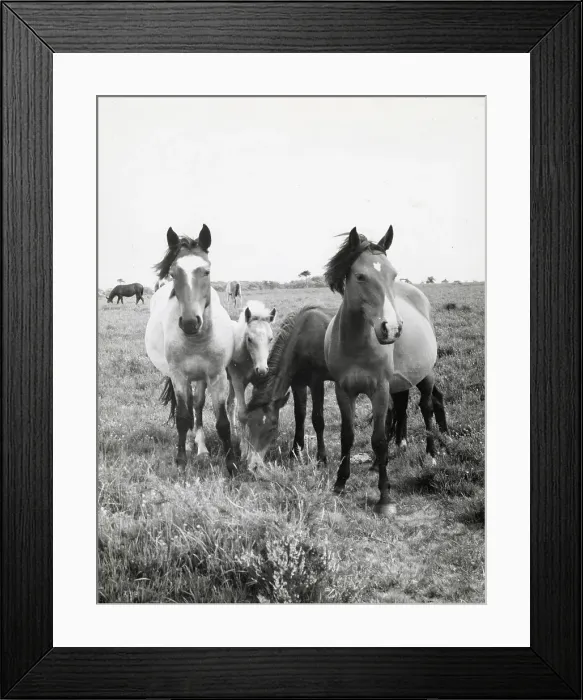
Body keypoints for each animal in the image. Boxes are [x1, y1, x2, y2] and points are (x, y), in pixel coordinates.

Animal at [144, 224, 237, 474]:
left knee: (198, 405)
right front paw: (181, 459)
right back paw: (190, 445)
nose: (189, 323)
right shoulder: (179, 376)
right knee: (184, 409)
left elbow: (221, 421)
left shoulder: (217, 377)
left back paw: (202, 449)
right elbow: (182, 418)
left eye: (206, 271)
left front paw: (231, 464)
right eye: (174, 273)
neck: (198, 339)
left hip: (202, 378)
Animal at [245, 305, 448, 468]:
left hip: (421, 374)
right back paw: (436, 441)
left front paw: (321, 458)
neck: (302, 336)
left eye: (271, 427)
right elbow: (299, 415)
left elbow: (317, 419)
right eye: (248, 427)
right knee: (415, 402)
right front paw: (295, 451)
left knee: (426, 404)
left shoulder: (316, 382)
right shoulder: (298, 383)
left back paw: (430, 452)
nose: (252, 463)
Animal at [324, 226, 441, 516]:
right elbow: (348, 435)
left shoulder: (379, 389)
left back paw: (431, 456)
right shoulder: (343, 391)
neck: (356, 343)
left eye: (393, 274)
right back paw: (382, 460)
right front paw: (340, 483)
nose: (392, 328)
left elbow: (378, 439)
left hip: (426, 376)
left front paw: (385, 498)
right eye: (360, 276)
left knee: (426, 409)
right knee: (398, 410)